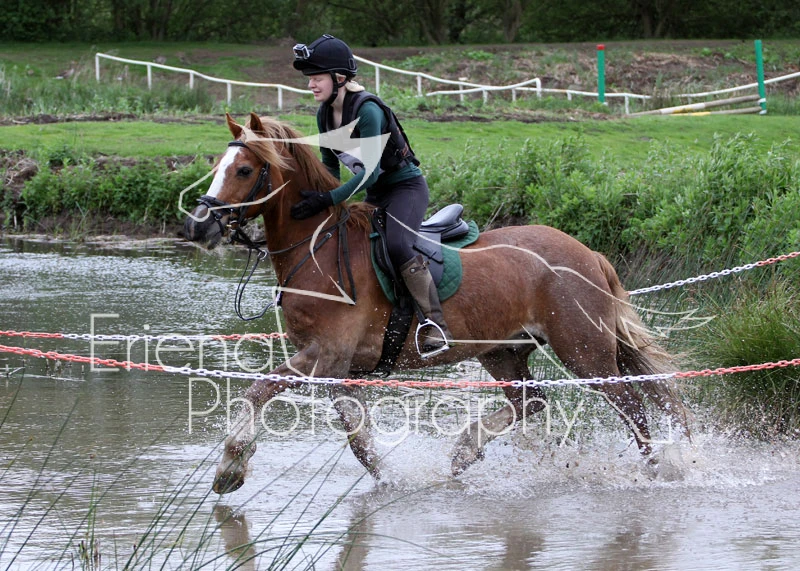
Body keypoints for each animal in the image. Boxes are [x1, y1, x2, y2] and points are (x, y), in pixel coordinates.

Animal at [183, 112, 691, 494]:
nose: (198, 225)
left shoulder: (324, 356)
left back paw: (655, 474)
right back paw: (464, 452)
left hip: (584, 350)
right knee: (530, 399)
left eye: (244, 170)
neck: (318, 248)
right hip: (502, 350)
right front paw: (390, 479)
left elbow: (260, 390)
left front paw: (231, 467)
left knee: (631, 406)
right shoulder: (339, 367)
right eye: (219, 165)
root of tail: (590, 254)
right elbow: (357, 438)